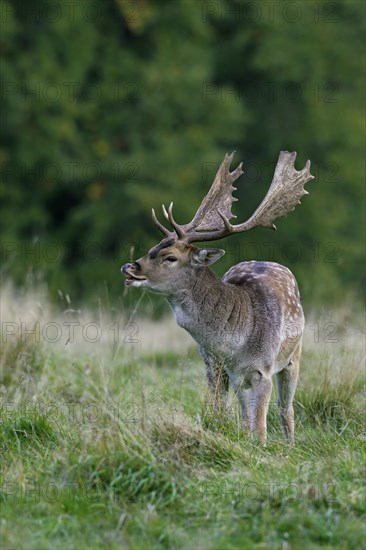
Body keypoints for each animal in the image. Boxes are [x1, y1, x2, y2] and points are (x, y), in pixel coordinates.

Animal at [121, 151, 314, 444]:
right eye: (152, 248)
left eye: (170, 257)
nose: (130, 267)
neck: (233, 343)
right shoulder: (213, 366)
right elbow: (220, 414)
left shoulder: (263, 369)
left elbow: (261, 427)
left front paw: (261, 449)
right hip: (240, 379)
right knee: (246, 413)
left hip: (295, 355)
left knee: (286, 408)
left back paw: (290, 445)